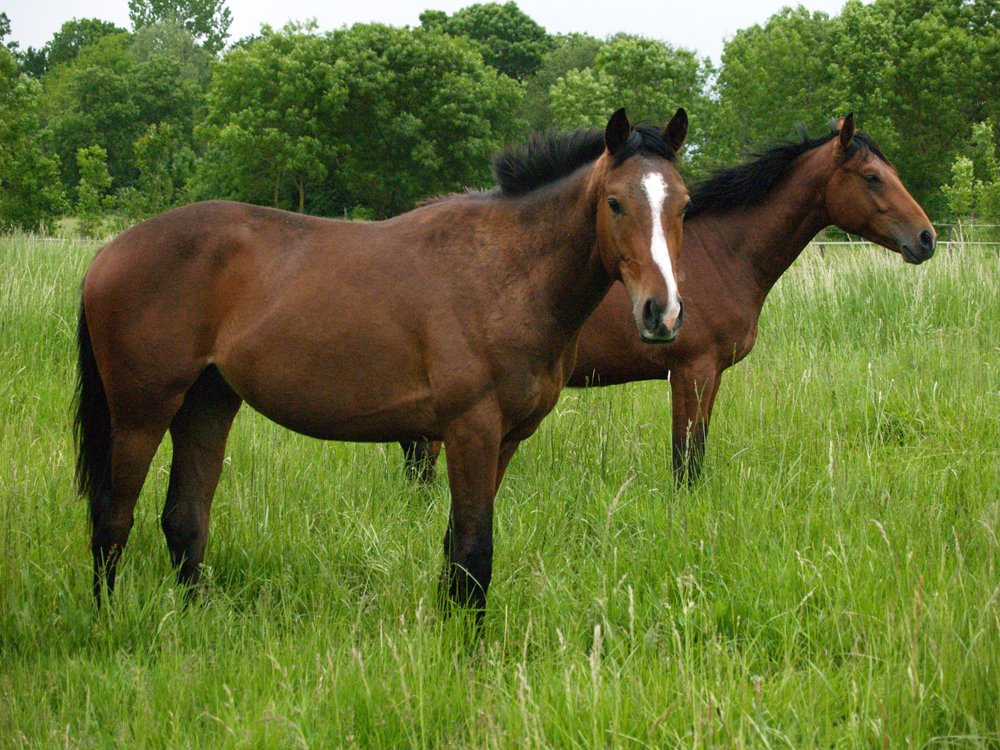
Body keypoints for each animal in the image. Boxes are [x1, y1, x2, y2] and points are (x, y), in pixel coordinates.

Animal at [75, 108, 690, 619]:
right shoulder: (471, 428)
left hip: (207, 403)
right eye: (615, 202)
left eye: (683, 204)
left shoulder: (506, 438)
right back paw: (107, 627)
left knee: (185, 520)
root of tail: (108, 253)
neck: (506, 270)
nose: (661, 312)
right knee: (113, 519)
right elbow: (475, 551)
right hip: (141, 412)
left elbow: (455, 549)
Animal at [400, 115, 936, 485]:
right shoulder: (692, 371)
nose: (926, 238)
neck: (723, 253)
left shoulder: (709, 376)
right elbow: (687, 462)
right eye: (872, 178)